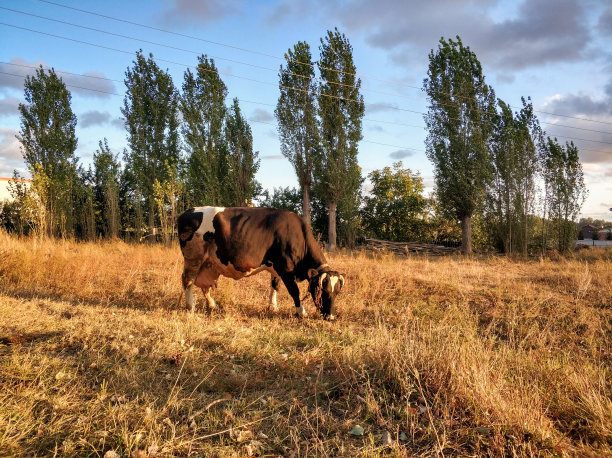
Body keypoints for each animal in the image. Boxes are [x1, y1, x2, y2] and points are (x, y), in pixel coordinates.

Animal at [179, 207, 346, 318]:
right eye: (323, 290)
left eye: (337, 292)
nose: (331, 317)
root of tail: (188, 211)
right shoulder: (286, 269)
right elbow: (294, 291)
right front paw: (301, 312)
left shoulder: (276, 270)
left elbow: (275, 287)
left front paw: (273, 307)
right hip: (193, 258)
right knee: (188, 281)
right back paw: (191, 306)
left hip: (209, 265)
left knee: (204, 286)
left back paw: (212, 305)